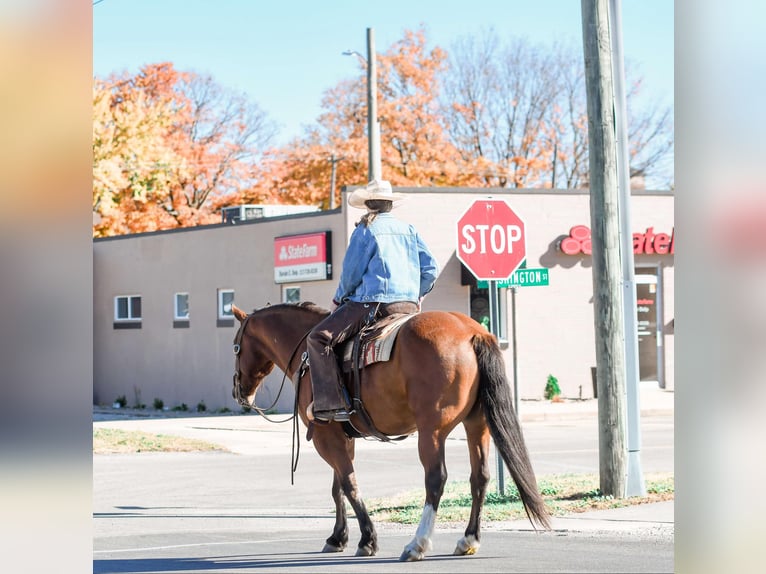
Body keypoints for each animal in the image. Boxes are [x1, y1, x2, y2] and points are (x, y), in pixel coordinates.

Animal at [231, 304, 548, 564]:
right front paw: (338, 537)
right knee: (479, 477)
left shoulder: (326, 437)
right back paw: (468, 540)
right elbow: (338, 488)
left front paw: (367, 539)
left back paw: (417, 544)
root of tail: (472, 332)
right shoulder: (342, 436)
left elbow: (349, 485)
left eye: (236, 346)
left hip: (432, 430)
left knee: (436, 479)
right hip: (477, 423)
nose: (238, 392)